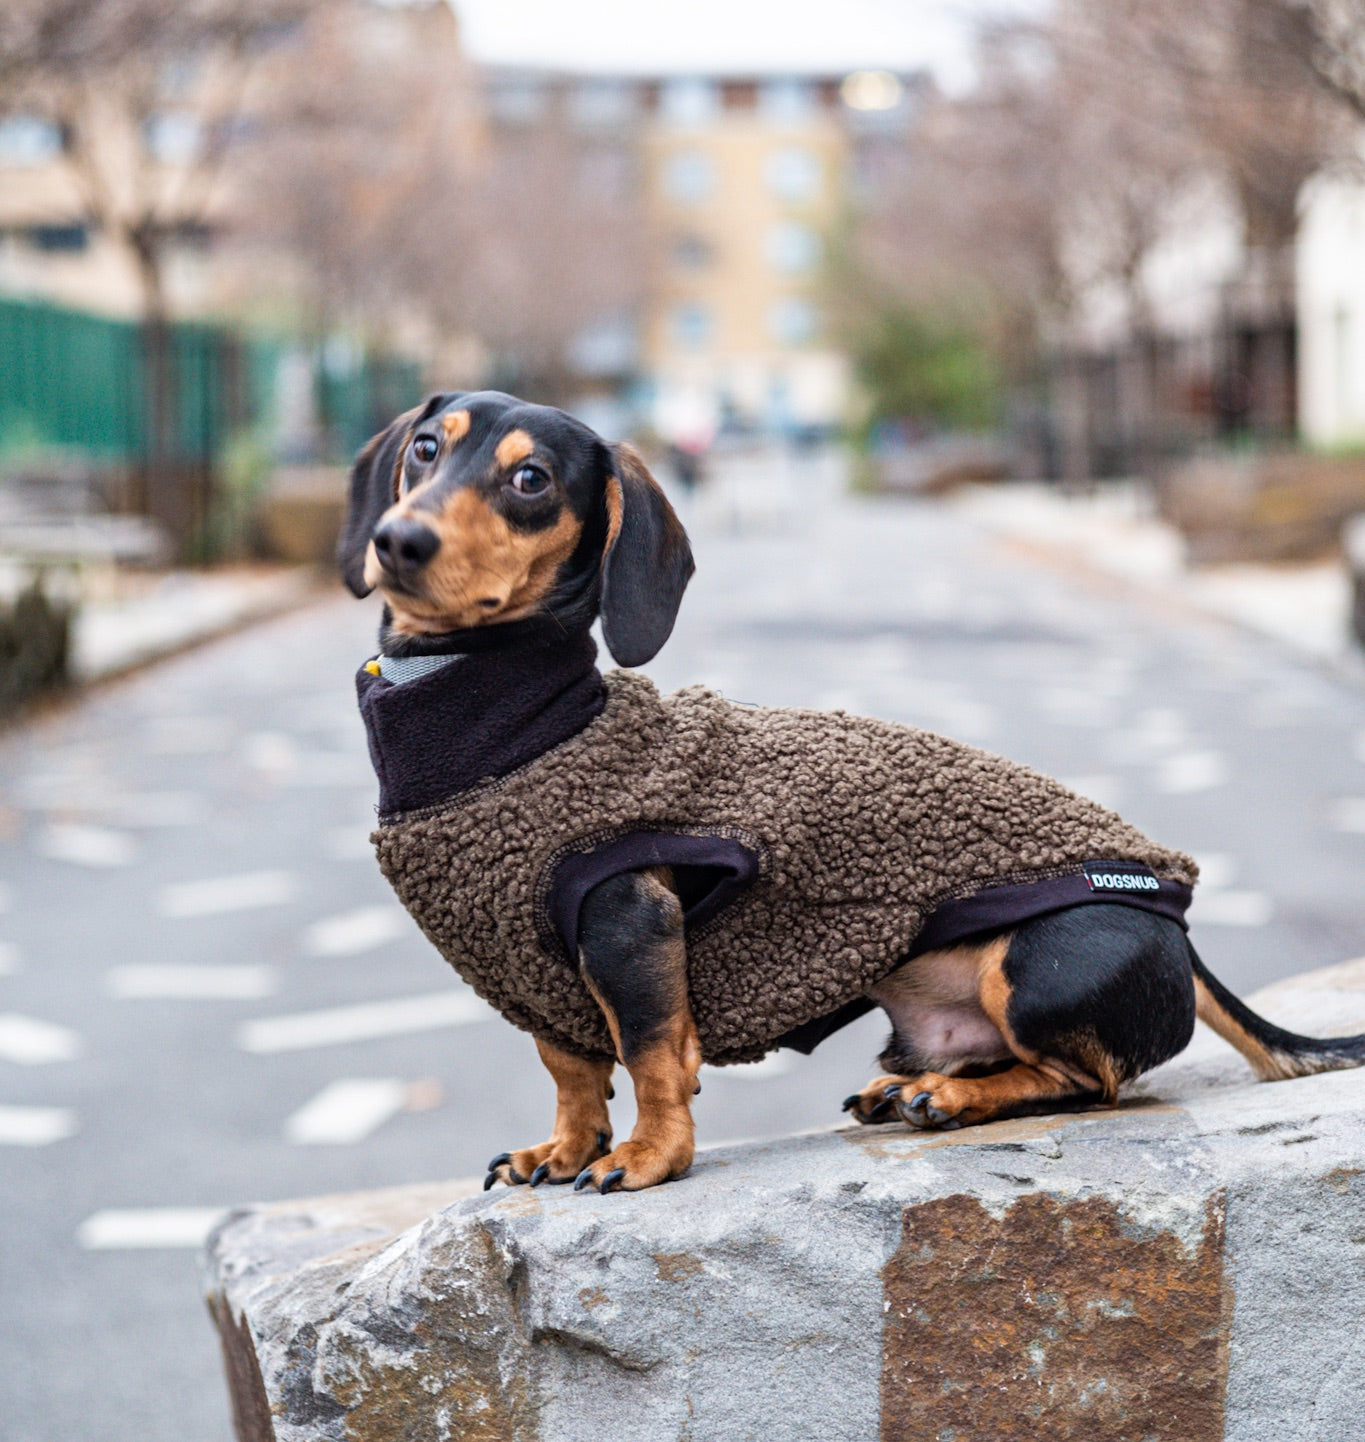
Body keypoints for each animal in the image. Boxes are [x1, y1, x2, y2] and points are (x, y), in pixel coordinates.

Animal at [338, 392, 1365, 1193]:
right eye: (425, 449)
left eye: (531, 480)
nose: (399, 539)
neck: (514, 728)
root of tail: (1180, 934)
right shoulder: (534, 968)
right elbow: (570, 1068)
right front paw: (561, 1149)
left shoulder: (627, 923)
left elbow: (651, 1054)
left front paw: (647, 1156)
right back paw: (909, 1087)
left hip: (1038, 962)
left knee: (1092, 1082)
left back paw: (950, 1096)